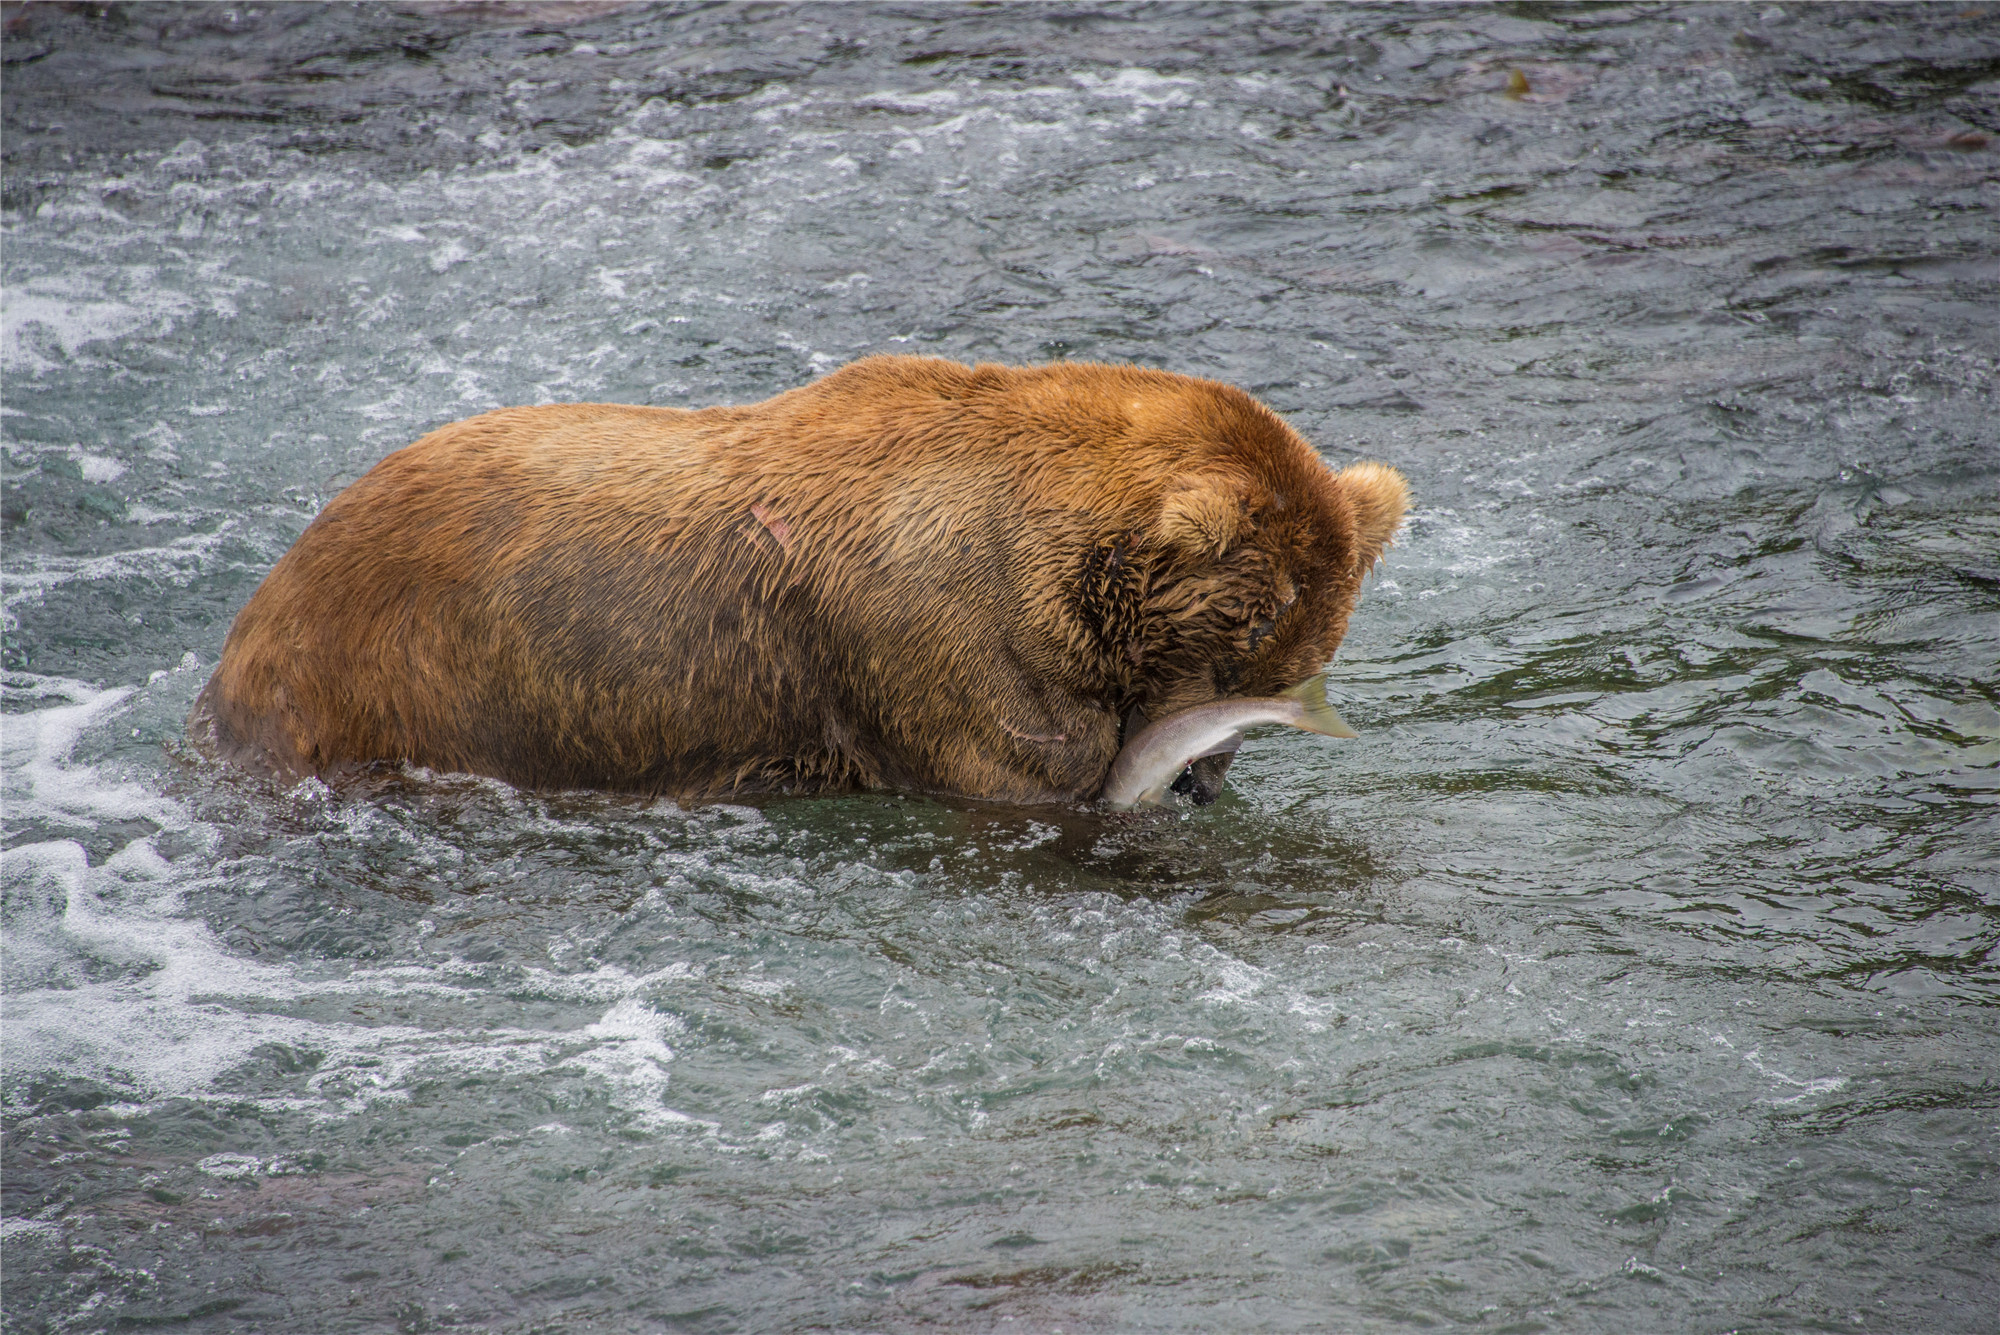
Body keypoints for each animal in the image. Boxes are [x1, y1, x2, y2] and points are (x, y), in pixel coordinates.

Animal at [188, 353, 1408, 803]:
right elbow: (1017, 766)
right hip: (404, 680)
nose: (1207, 764)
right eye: (1243, 645)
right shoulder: (922, 631)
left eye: (1299, 655)